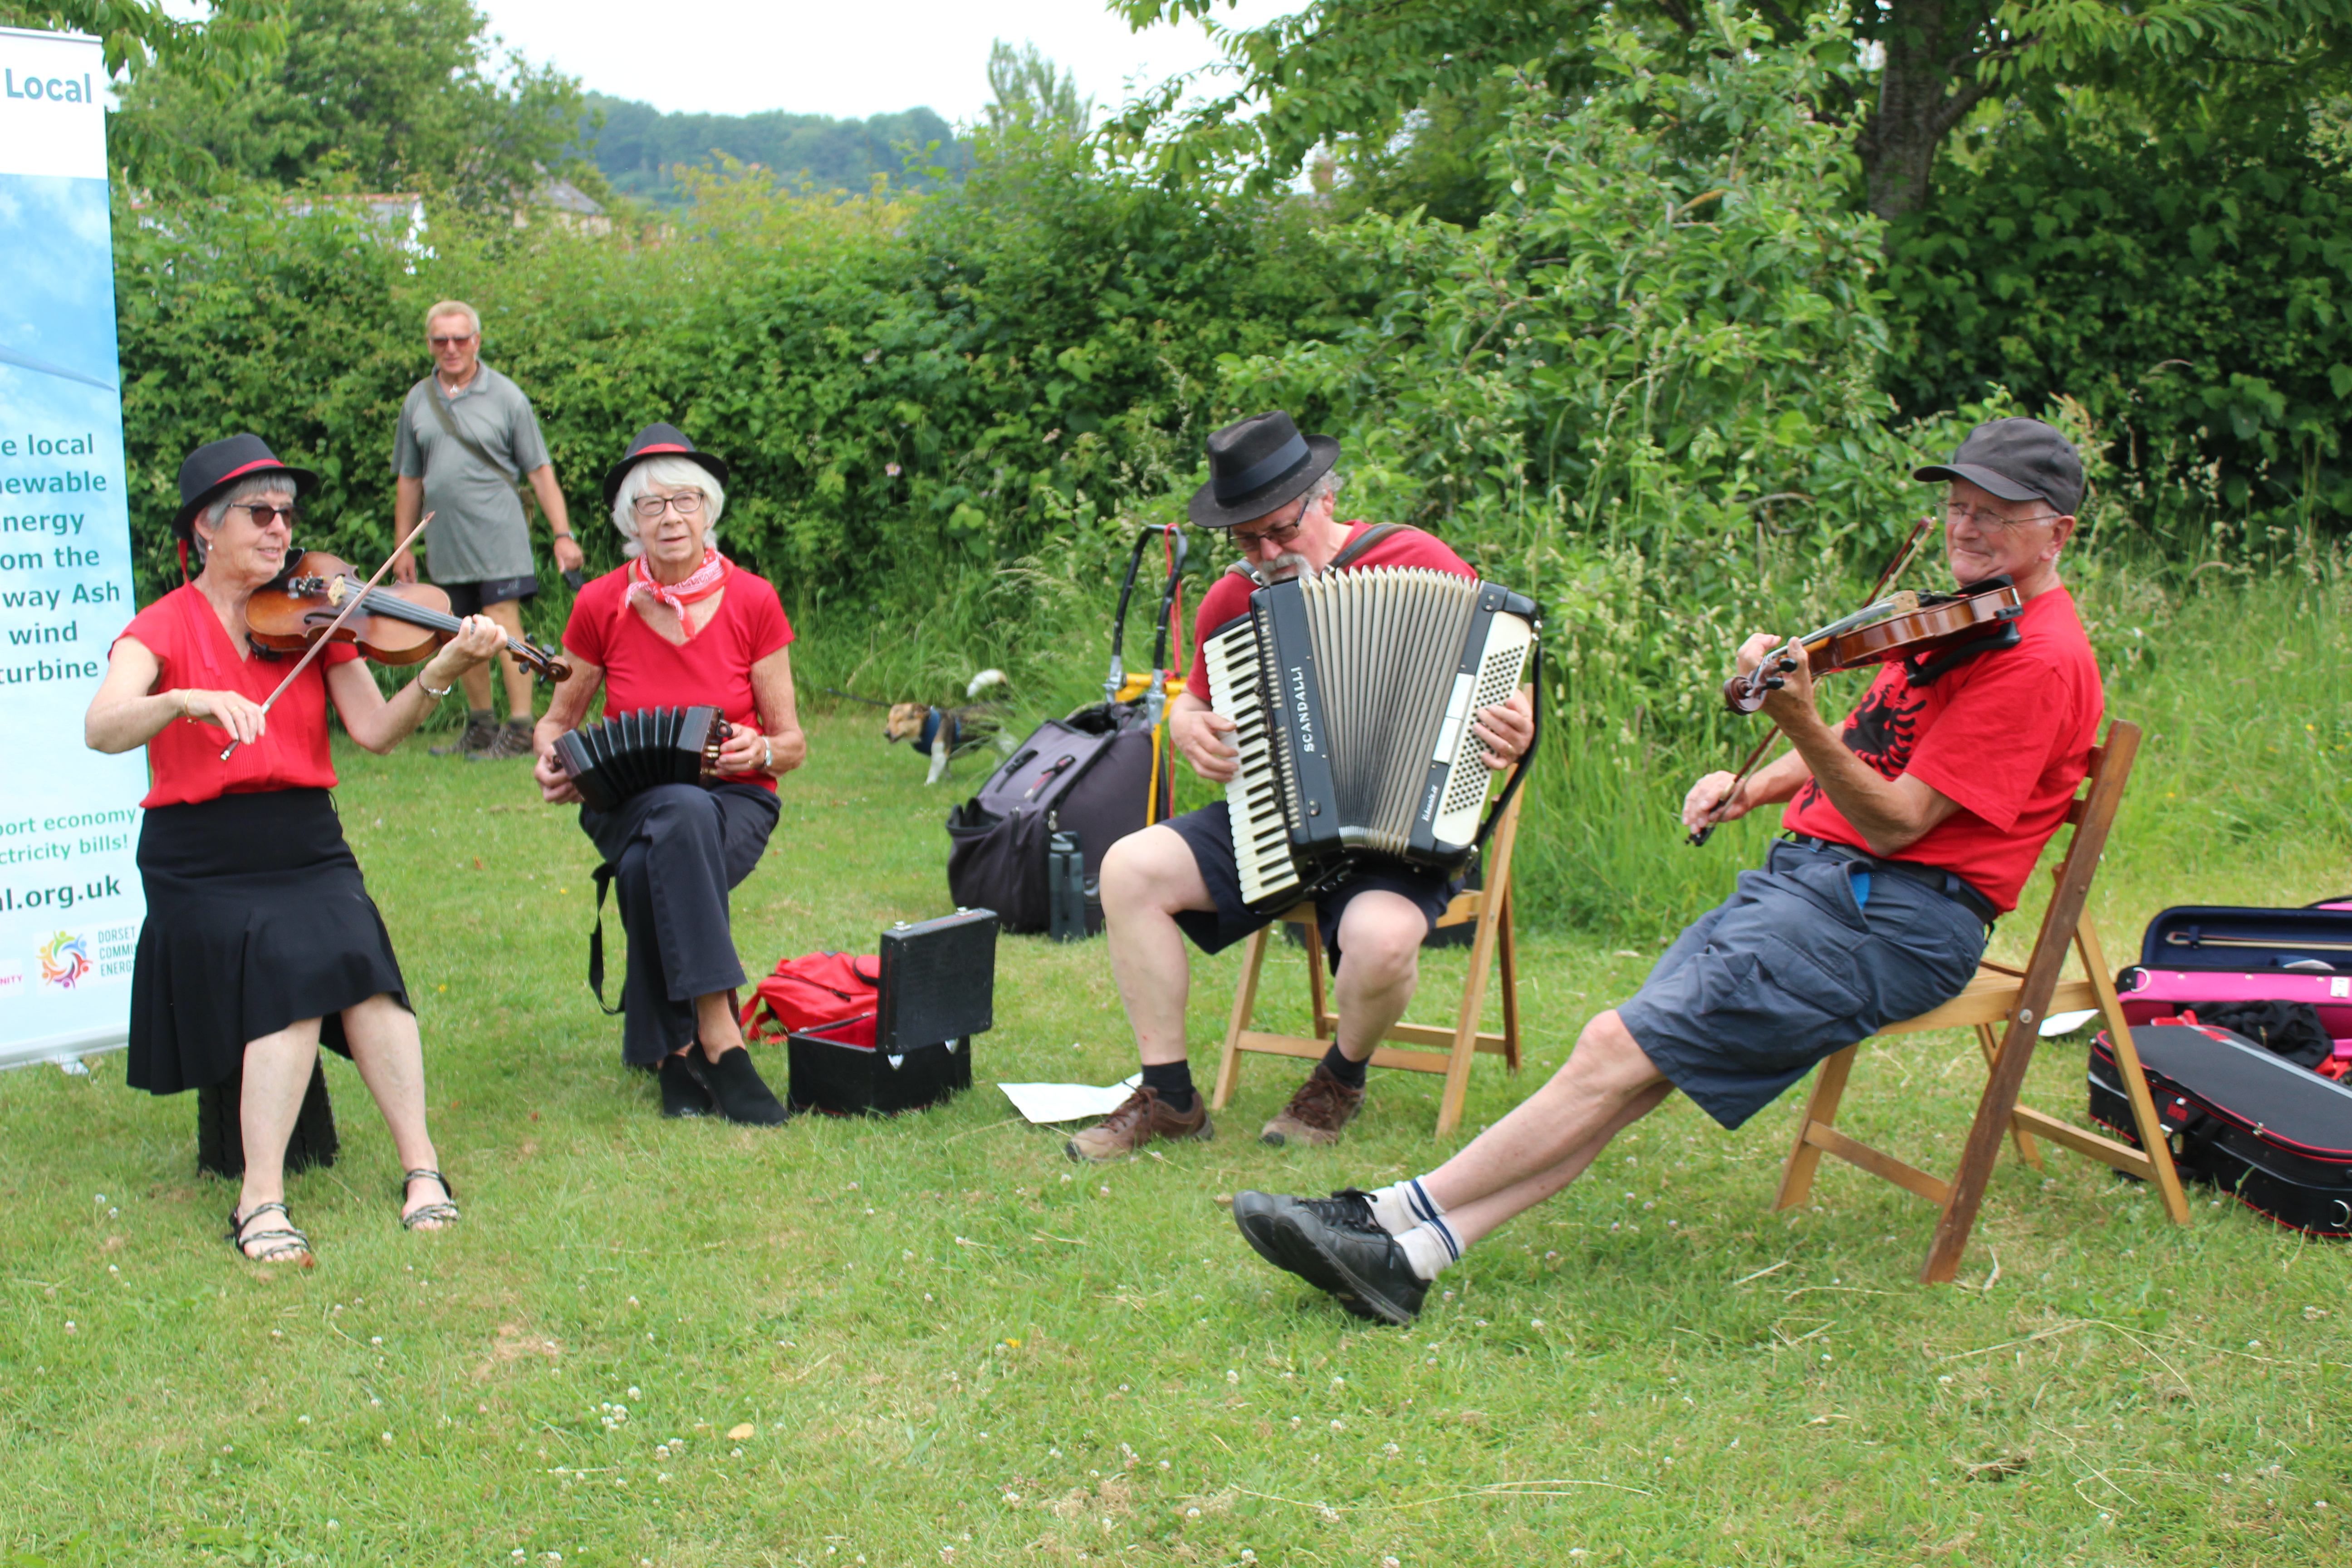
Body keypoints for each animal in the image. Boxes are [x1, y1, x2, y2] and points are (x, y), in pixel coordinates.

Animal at [884, 667, 1011, 785]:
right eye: (888, 720)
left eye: (900, 720)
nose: (886, 734)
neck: (926, 726)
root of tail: (1003, 701)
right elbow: (946, 767)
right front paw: (948, 779)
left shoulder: (939, 756)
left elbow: (933, 772)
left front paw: (928, 784)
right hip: (993, 741)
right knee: (1000, 753)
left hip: (1005, 739)